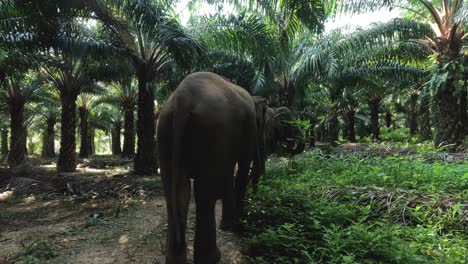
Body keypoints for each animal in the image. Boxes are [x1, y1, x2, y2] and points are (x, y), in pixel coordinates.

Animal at [156, 72, 266, 264]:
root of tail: (183, 97)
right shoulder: (248, 127)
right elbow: (242, 168)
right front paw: (237, 224)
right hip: (214, 129)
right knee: (205, 192)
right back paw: (212, 257)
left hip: (164, 129)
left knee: (177, 190)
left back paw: (175, 258)